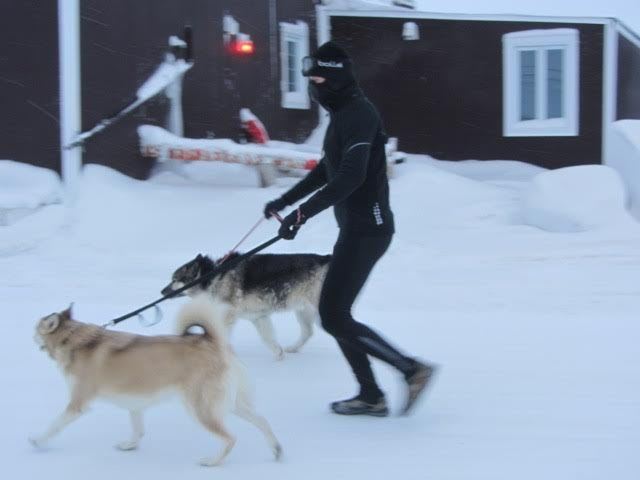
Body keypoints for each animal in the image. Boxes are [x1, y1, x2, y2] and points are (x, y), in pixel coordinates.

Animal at [28, 294, 282, 466]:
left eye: (36, 327)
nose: (30, 335)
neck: (74, 339)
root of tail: (214, 343)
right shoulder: (134, 403)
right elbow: (138, 429)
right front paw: (130, 445)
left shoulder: (78, 404)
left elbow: (55, 425)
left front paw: (38, 441)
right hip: (231, 404)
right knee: (263, 421)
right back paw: (276, 449)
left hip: (201, 409)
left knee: (230, 438)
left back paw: (212, 461)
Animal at [161, 253, 330, 358]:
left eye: (175, 279)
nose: (162, 291)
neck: (213, 277)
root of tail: (326, 259)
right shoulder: (259, 317)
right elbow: (268, 339)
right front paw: (279, 354)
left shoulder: (228, 316)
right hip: (303, 311)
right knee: (308, 332)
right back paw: (292, 348)